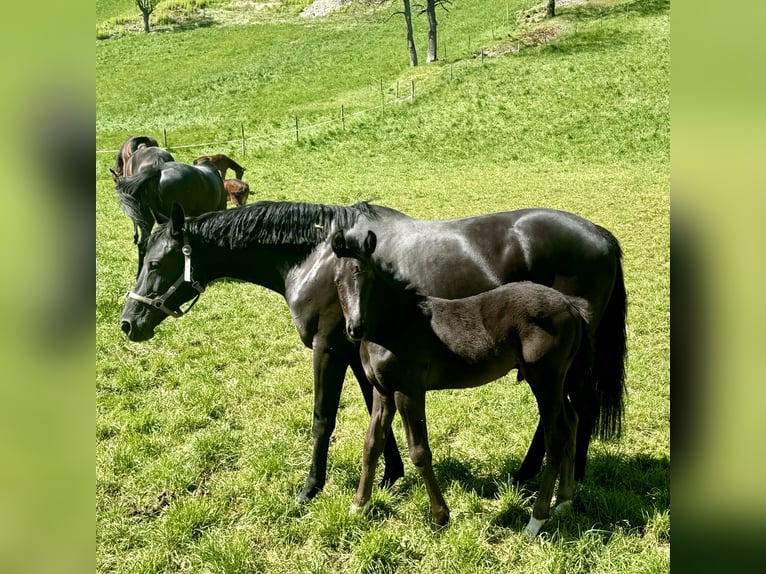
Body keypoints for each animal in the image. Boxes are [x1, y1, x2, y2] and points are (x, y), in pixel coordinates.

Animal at [117, 201, 628, 504]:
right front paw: (388, 477)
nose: (128, 322)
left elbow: (323, 418)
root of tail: (601, 234)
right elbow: (373, 413)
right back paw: (529, 476)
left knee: (572, 410)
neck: (317, 257)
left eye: (157, 263)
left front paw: (310, 489)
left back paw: (567, 477)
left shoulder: (327, 349)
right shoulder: (361, 353)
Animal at [332, 231, 592, 540]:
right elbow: (372, 445)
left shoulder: (409, 392)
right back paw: (564, 500)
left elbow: (419, 451)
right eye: (337, 280)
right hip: (557, 379)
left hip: (545, 379)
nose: (355, 328)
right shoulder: (382, 392)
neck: (395, 326)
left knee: (556, 436)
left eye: (368, 277)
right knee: (572, 420)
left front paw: (440, 518)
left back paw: (536, 520)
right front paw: (358, 507)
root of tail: (570, 304)